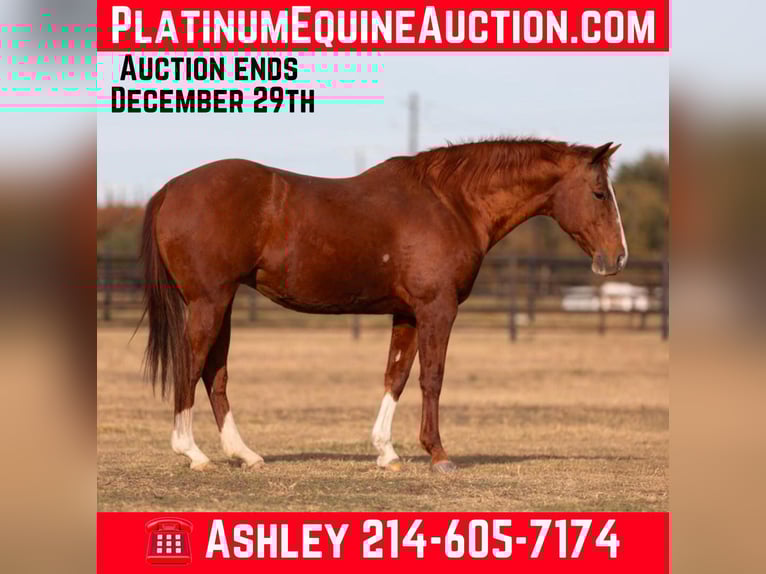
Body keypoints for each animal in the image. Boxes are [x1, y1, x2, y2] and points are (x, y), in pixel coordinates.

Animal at [140, 138, 626, 473]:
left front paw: (386, 452)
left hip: (221, 303)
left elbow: (397, 376)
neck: (451, 203)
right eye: (600, 193)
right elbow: (432, 378)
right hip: (209, 301)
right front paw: (438, 454)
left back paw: (245, 454)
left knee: (215, 374)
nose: (617, 257)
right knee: (191, 367)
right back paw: (193, 453)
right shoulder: (437, 309)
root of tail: (170, 189)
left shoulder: (408, 313)